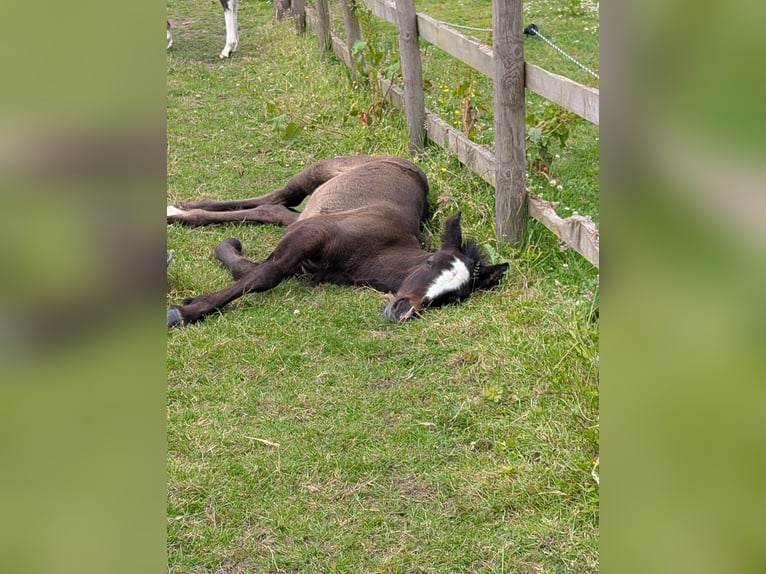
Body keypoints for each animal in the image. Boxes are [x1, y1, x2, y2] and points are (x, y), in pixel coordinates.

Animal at [166, 155, 508, 327]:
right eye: (430, 262)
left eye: (454, 296)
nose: (402, 310)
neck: (376, 249)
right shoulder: (311, 235)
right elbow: (265, 274)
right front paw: (182, 312)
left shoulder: (307, 263)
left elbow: (251, 270)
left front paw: (226, 249)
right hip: (319, 172)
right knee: (277, 196)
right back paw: (179, 210)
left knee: (272, 208)